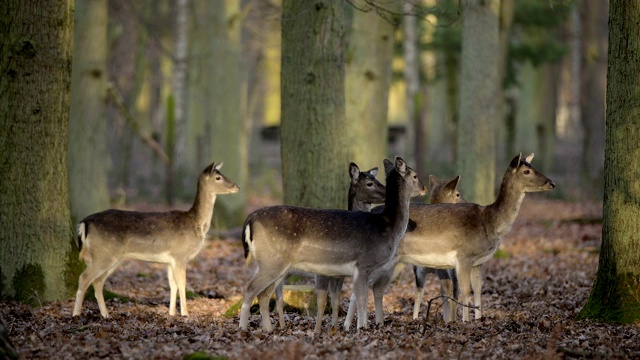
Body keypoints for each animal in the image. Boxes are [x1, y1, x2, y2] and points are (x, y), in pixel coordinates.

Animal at [70, 162, 240, 318]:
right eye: (218, 177)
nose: (237, 186)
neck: (196, 223)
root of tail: (84, 223)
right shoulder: (180, 255)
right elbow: (182, 284)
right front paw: (185, 314)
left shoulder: (171, 260)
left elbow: (173, 285)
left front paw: (172, 314)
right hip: (103, 253)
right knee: (84, 277)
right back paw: (76, 314)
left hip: (113, 257)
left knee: (97, 282)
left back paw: (106, 315)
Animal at [239, 156, 424, 330]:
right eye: (415, 175)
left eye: (380, 180)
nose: (424, 188)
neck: (387, 227)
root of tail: (249, 219)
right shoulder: (363, 264)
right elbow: (361, 298)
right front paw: (361, 328)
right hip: (272, 261)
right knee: (249, 289)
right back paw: (243, 329)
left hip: (273, 265)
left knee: (263, 294)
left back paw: (269, 330)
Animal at [392, 153, 552, 322]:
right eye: (527, 171)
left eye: (532, 167)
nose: (551, 183)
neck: (489, 223)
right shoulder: (463, 256)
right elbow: (465, 290)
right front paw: (465, 321)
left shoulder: (478, 262)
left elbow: (477, 288)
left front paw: (477, 319)